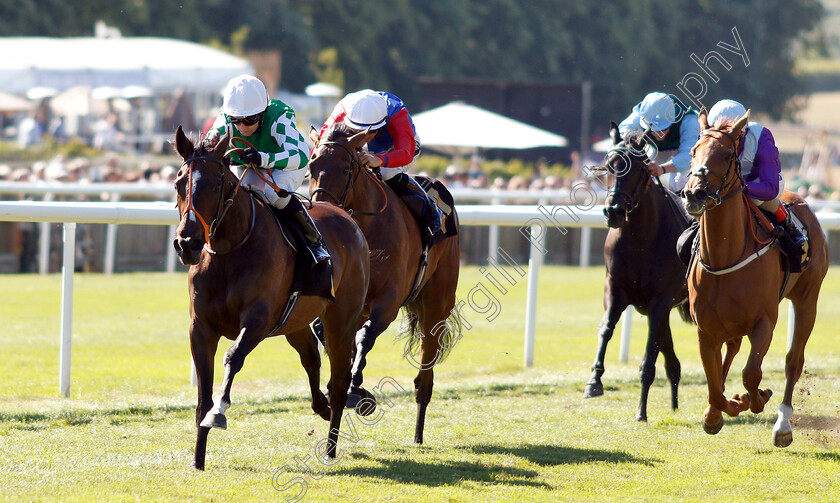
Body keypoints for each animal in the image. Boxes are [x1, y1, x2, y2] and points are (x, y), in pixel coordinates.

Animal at [170, 125, 368, 468]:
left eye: (215, 184)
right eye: (180, 183)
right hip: (296, 321)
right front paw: (198, 459)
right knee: (312, 359)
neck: (229, 251)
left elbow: (233, 357)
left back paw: (330, 447)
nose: (187, 244)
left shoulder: (258, 320)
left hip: (341, 320)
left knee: (340, 378)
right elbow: (202, 394)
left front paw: (219, 413)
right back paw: (323, 407)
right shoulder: (201, 328)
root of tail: (348, 219)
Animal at [306, 125, 462, 444]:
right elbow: (328, 335)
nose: (323, 208)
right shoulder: (345, 302)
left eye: (345, 168)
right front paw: (353, 388)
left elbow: (364, 338)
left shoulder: (388, 301)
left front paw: (356, 388)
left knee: (424, 376)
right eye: (311, 167)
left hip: (437, 306)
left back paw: (418, 434)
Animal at [580, 122, 692, 422]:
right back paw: (675, 403)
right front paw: (593, 382)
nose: (613, 211)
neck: (641, 239)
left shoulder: (660, 301)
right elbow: (606, 329)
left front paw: (641, 410)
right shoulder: (615, 289)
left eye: (638, 169)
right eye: (609, 166)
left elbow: (650, 354)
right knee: (672, 357)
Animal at [684, 109, 832, 444]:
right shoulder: (705, 330)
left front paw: (755, 398)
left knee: (793, 360)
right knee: (731, 350)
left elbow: (752, 374)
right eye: (693, 151)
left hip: (807, 298)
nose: (694, 193)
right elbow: (713, 385)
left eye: (726, 155)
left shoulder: (764, 321)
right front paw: (716, 412)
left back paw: (783, 425)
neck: (725, 255)